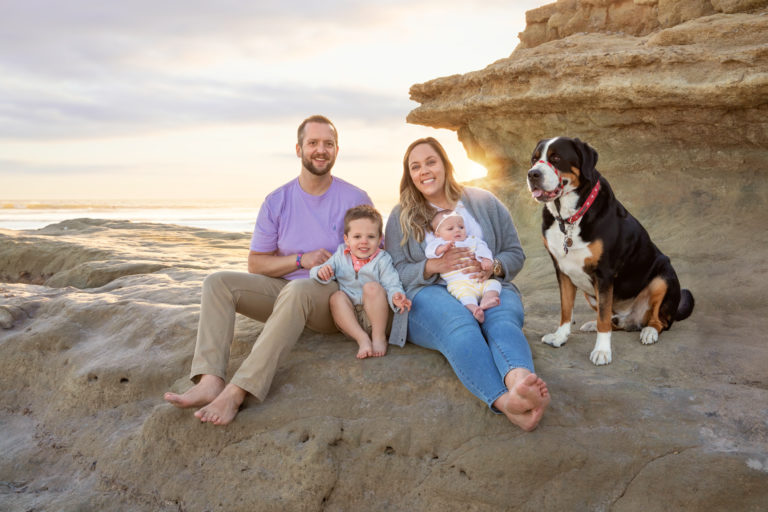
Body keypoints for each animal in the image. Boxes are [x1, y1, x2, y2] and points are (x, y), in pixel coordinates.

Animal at [524, 136, 692, 364]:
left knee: (660, 321)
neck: (569, 218)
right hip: (591, 292)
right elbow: (566, 309)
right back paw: (593, 324)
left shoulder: (604, 274)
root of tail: (631, 317)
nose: (533, 174)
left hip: (663, 275)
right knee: (614, 321)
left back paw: (649, 331)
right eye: (534, 160)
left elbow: (603, 319)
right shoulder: (563, 270)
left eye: (556, 158)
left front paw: (602, 351)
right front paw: (560, 337)